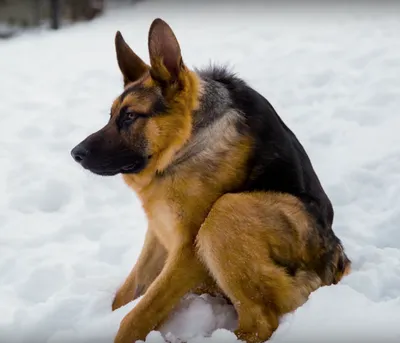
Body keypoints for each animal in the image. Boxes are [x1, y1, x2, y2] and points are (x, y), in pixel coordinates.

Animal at [71, 18, 350, 343]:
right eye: (111, 115)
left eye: (129, 117)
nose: (75, 154)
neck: (186, 142)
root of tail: (337, 263)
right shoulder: (158, 232)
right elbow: (125, 296)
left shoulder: (188, 252)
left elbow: (136, 315)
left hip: (226, 214)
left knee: (261, 321)